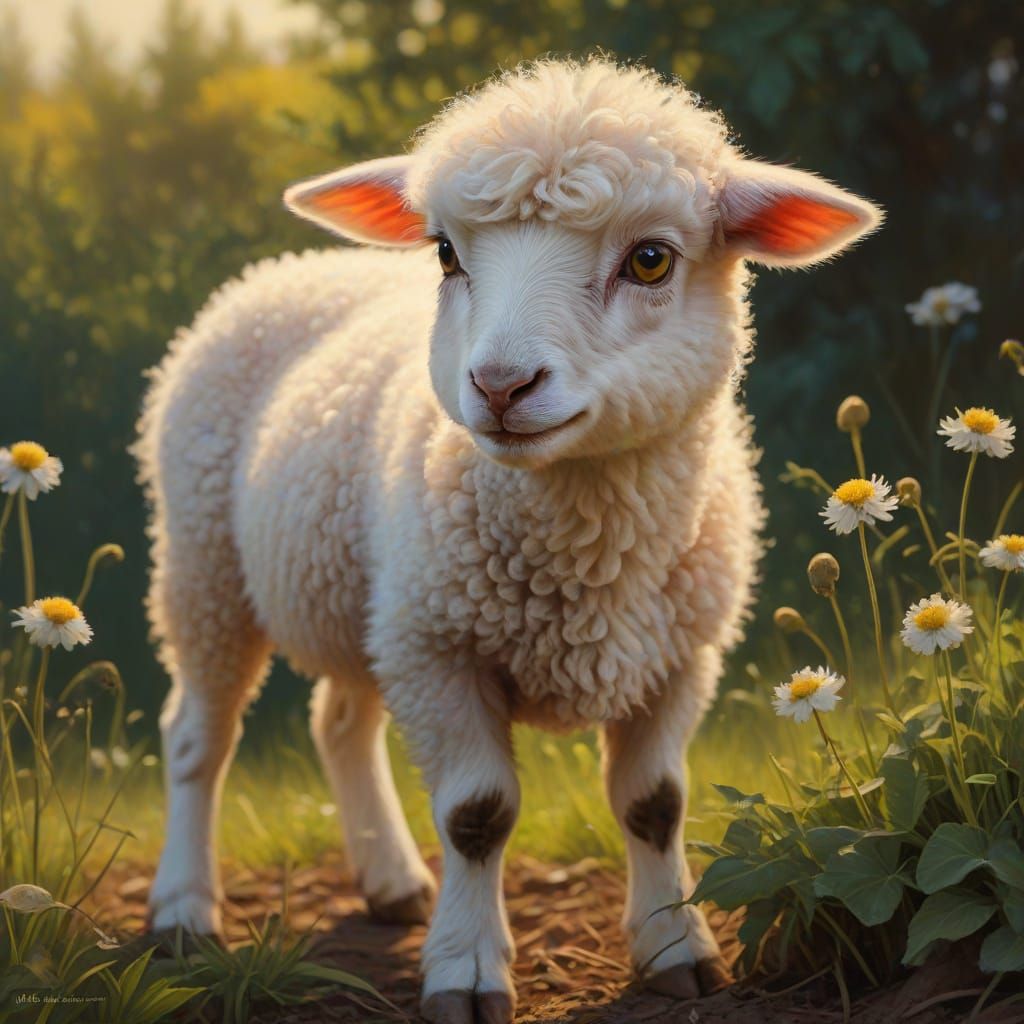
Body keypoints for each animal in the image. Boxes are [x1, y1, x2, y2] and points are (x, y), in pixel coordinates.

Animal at [135, 58, 881, 1024]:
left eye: (651, 259)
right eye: (447, 255)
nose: (498, 384)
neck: (586, 551)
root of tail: (287, 267)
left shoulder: (679, 655)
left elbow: (655, 804)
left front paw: (676, 949)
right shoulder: (441, 650)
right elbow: (477, 815)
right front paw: (465, 969)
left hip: (373, 596)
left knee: (339, 723)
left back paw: (390, 882)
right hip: (206, 564)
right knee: (200, 735)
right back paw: (184, 909)